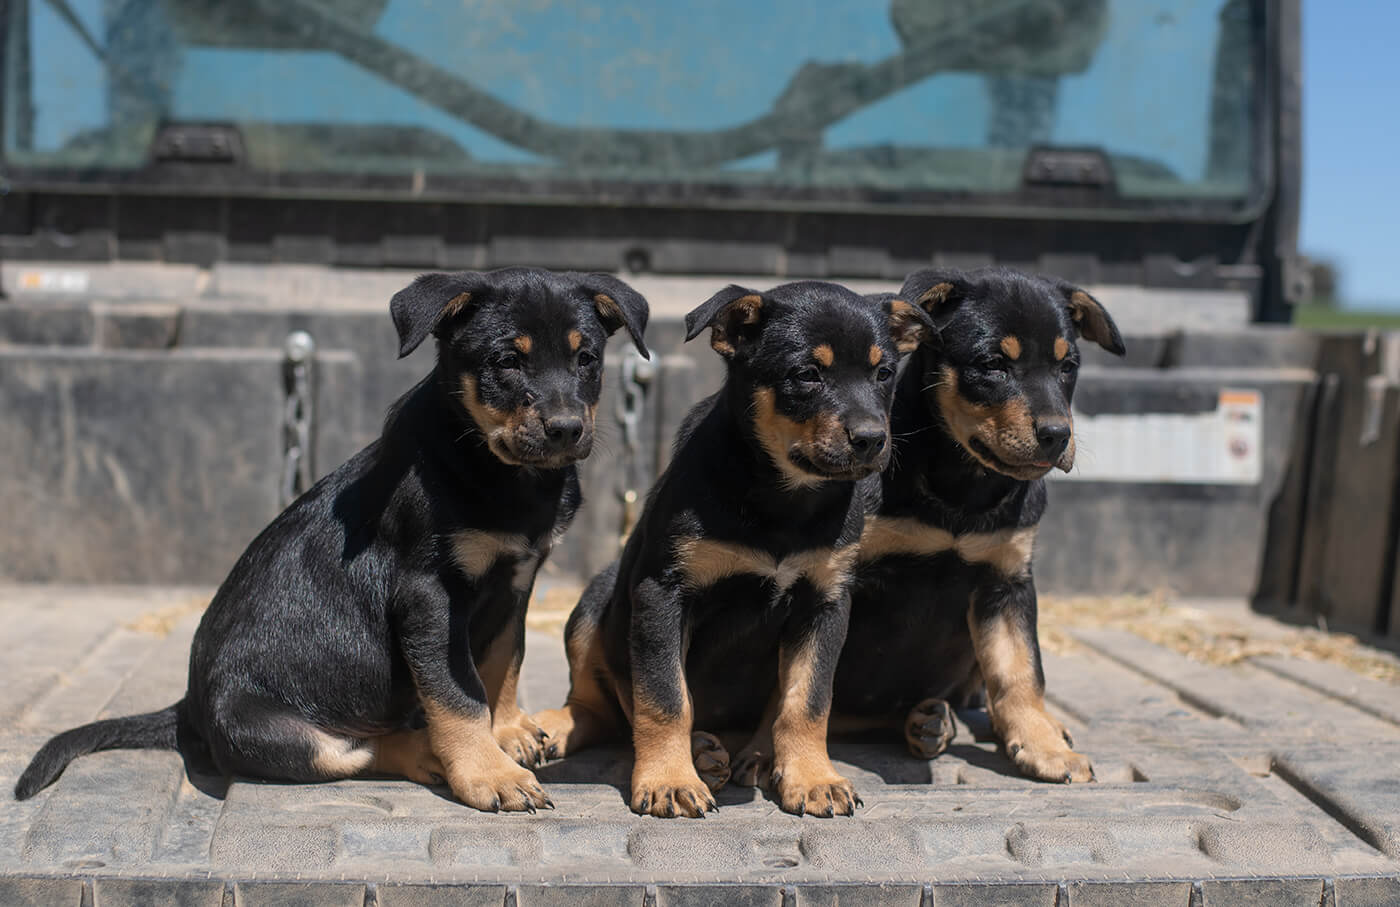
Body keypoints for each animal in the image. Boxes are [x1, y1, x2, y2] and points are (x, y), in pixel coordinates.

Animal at [16, 265, 649, 811]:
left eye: (587, 359)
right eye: (506, 362)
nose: (567, 429)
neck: (497, 468)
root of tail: (189, 707)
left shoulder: (516, 579)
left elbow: (503, 659)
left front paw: (510, 729)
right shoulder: (427, 595)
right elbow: (457, 691)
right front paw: (490, 773)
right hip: (270, 731)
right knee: (353, 750)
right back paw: (427, 753)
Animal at [532, 281, 929, 817]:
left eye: (884, 373)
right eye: (807, 374)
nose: (871, 439)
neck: (783, 497)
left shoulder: (826, 601)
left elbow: (807, 699)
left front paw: (813, 778)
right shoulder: (662, 592)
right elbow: (665, 695)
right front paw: (670, 780)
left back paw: (754, 755)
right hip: (596, 602)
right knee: (599, 703)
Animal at [828, 265, 1125, 783]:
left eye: (1067, 367)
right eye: (992, 365)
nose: (1057, 435)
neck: (962, 486)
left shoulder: (1005, 581)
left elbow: (1020, 669)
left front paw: (1043, 746)